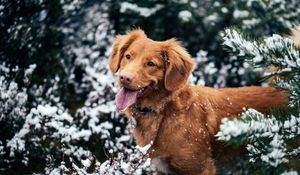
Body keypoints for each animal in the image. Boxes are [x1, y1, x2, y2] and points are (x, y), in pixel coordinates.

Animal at [108, 29, 288, 174]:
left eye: (150, 63)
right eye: (128, 56)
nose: (124, 77)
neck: (163, 112)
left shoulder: (201, 167)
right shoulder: (163, 169)